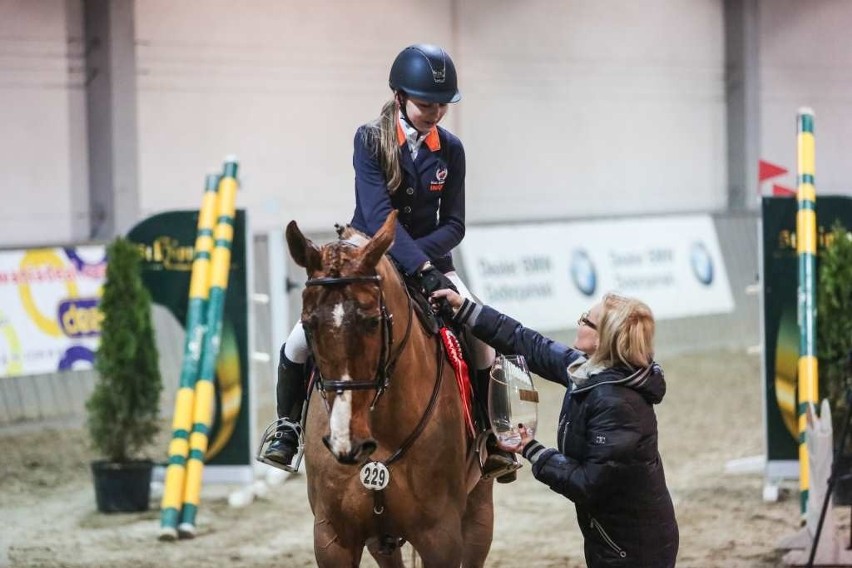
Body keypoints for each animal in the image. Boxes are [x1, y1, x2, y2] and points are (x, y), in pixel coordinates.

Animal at [286, 211, 496, 564]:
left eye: (373, 321)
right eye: (308, 323)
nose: (346, 441)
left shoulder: (441, 537)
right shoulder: (332, 538)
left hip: (479, 503)